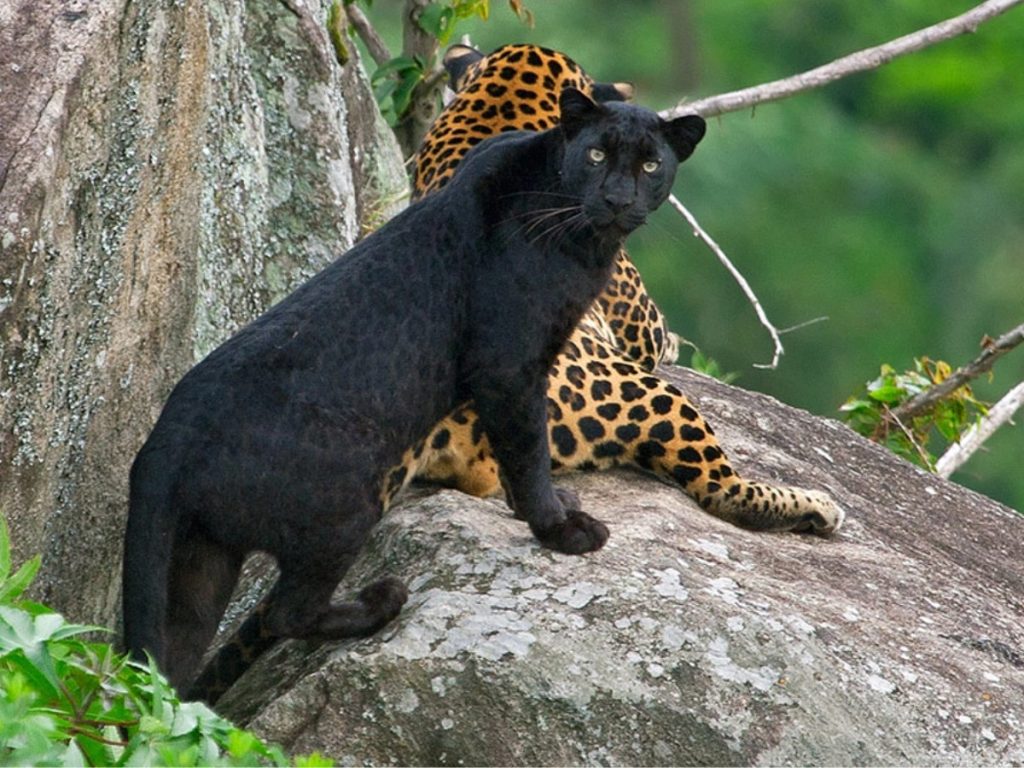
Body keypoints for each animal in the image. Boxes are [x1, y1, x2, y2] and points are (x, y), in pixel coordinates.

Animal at [395, 41, 843, 536]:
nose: (619, 200)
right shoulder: (635, 321)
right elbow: (660, 333)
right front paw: (676, 342)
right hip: (645, 391)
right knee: (721, 489)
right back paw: (817, 504)